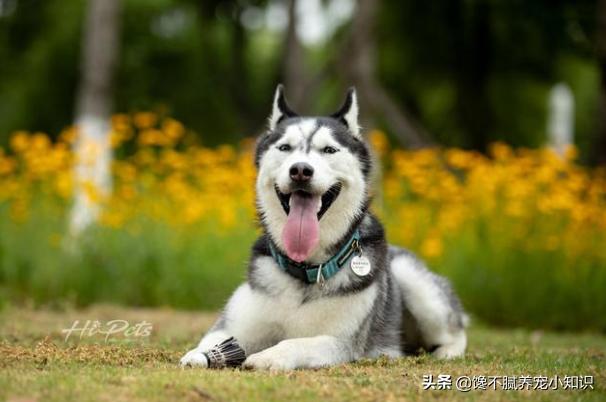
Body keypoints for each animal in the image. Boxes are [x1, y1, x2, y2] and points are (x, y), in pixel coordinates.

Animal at [180, 85, 470, 370]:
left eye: (329, 150)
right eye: (285, 148)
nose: (300, 170)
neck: (305, 269)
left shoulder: (341, 342)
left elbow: (295, 342)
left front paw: (268, 356)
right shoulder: (233, 325)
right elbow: (213, 340)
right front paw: (200, 355)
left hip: (414, 280)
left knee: (457, 331)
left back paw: (447, 352)